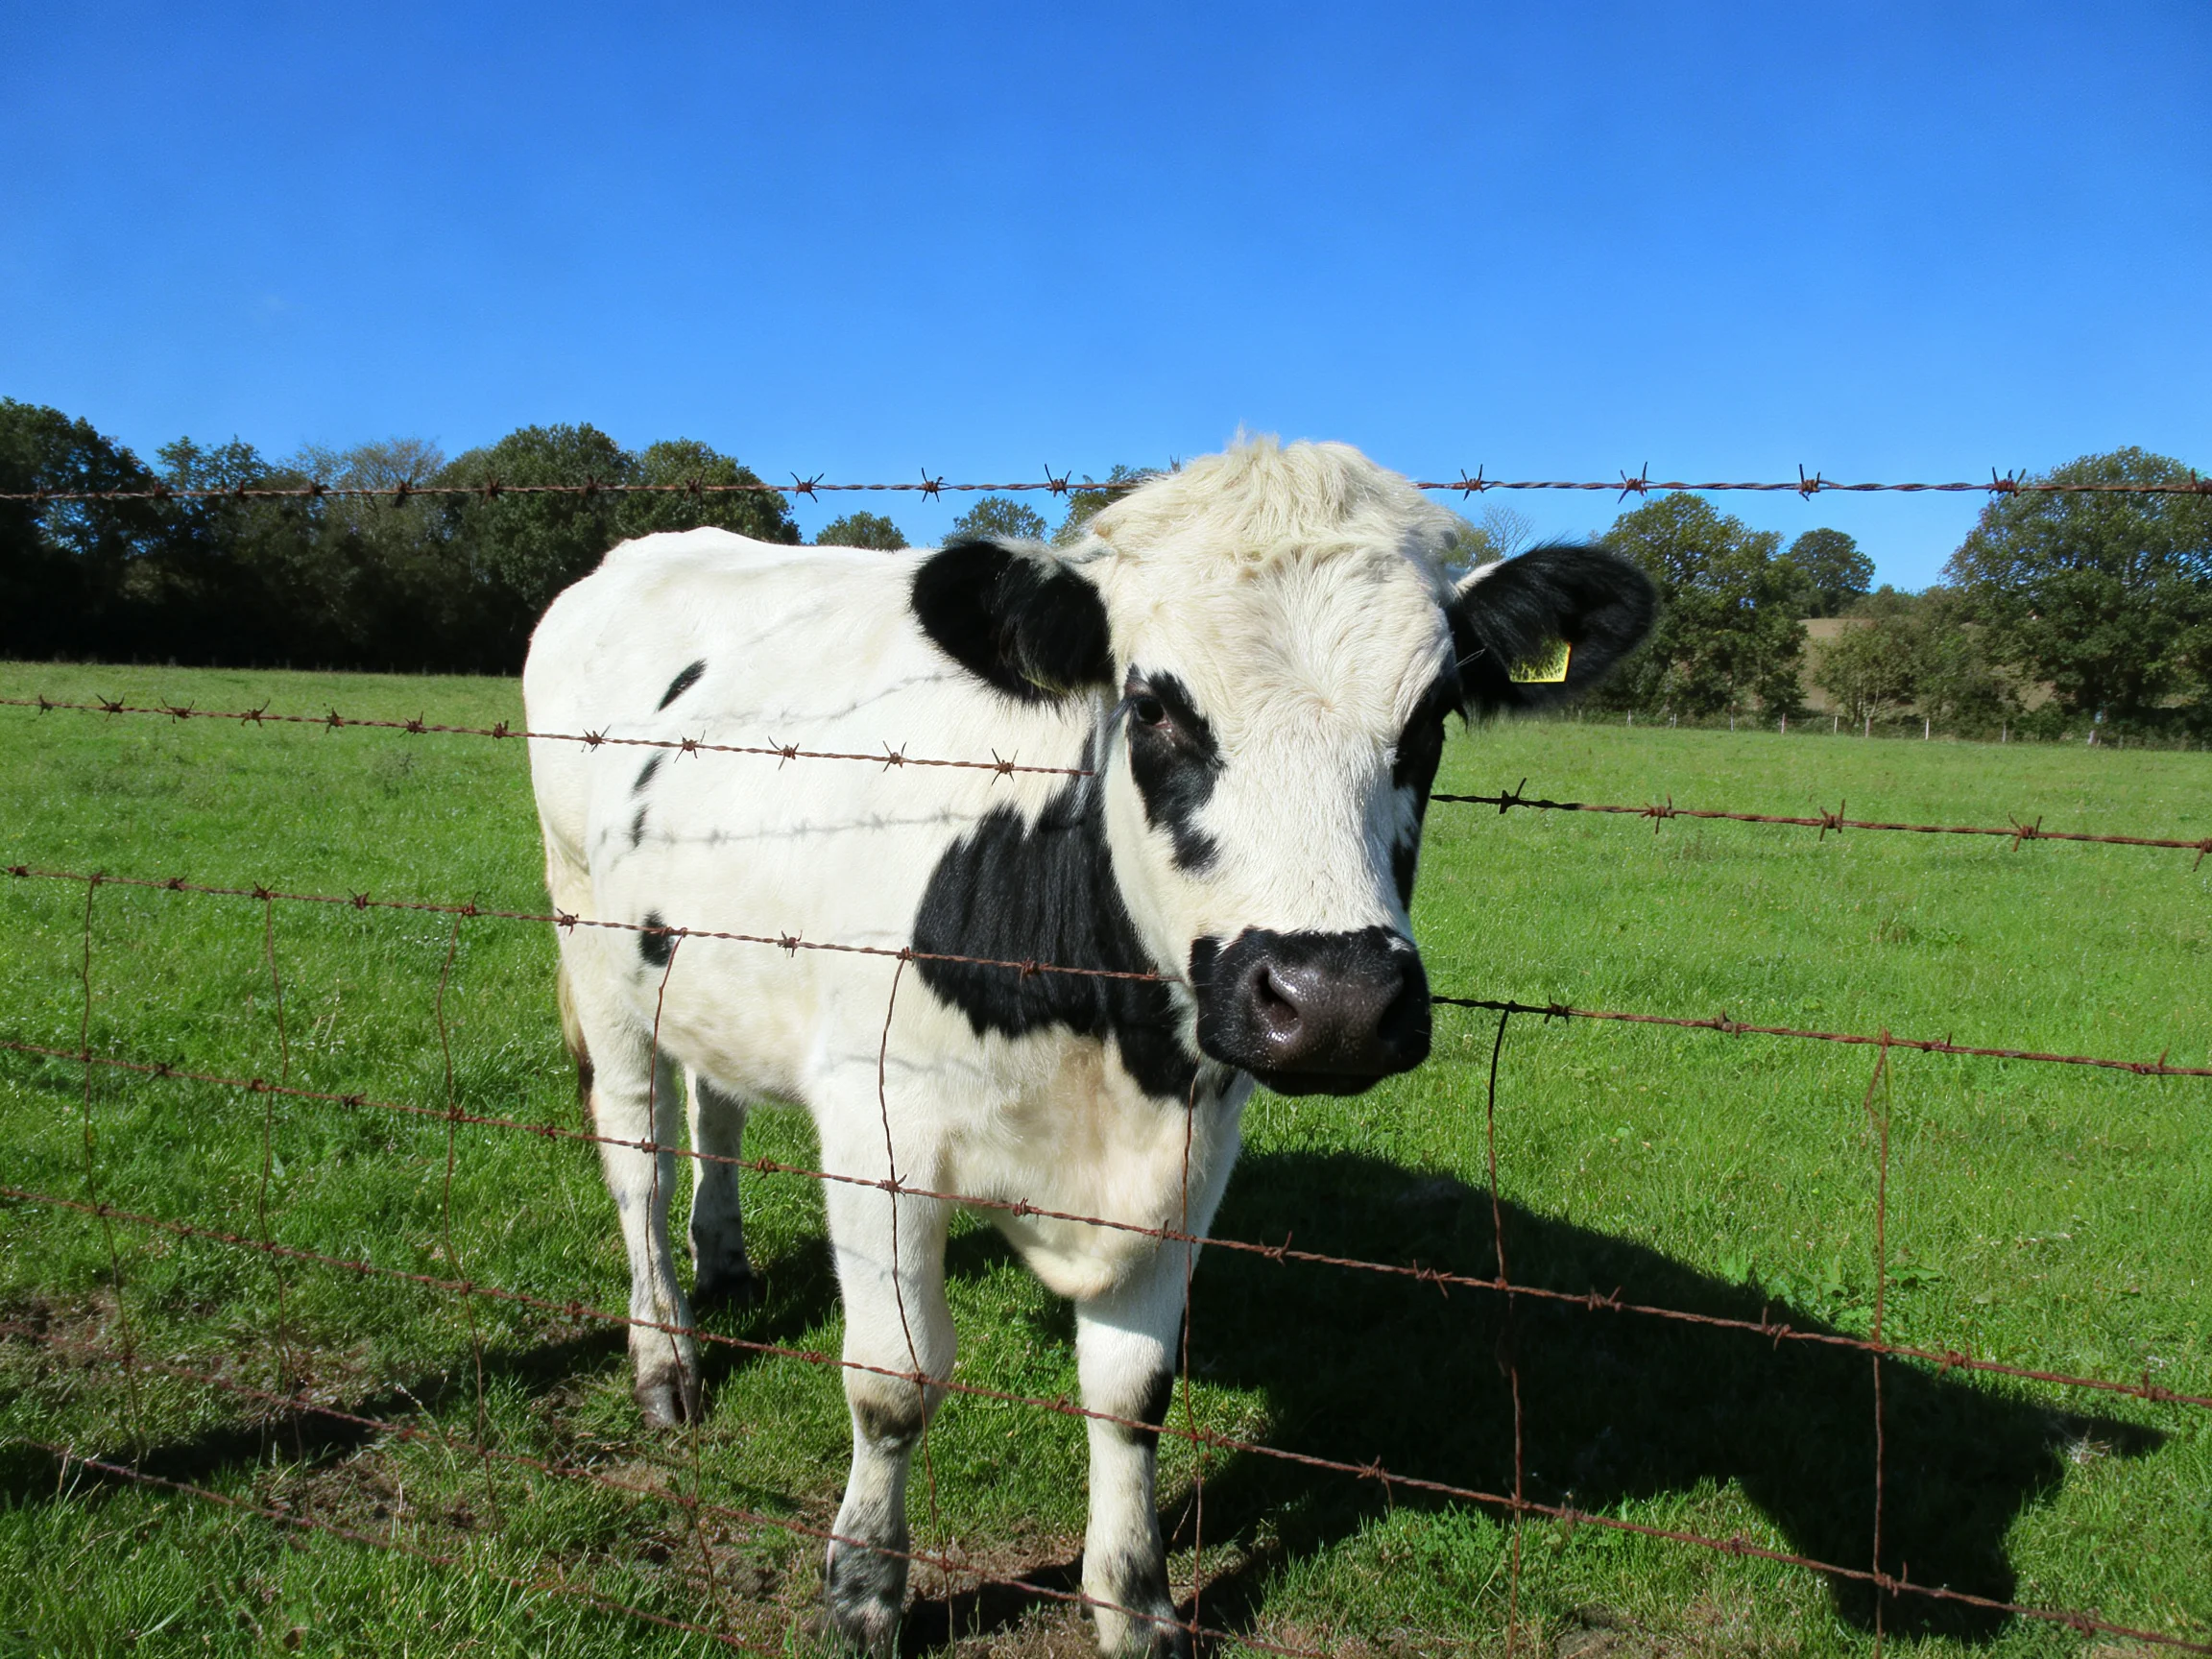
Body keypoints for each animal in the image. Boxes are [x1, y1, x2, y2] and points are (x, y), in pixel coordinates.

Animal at [522, 437, 1655, 1655]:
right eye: (1152, 707)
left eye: (1434, 713)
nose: (1336, 999)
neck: (1106, 1060)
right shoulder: (879, 1133)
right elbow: (893, 1382)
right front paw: (864, 1591)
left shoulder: (1191, 1156)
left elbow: (1132, 1392)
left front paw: (1134, 1601)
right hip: (592, 941)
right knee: (636, 1159)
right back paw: (665, 1360)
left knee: (716, 1099)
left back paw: (725, 1260)